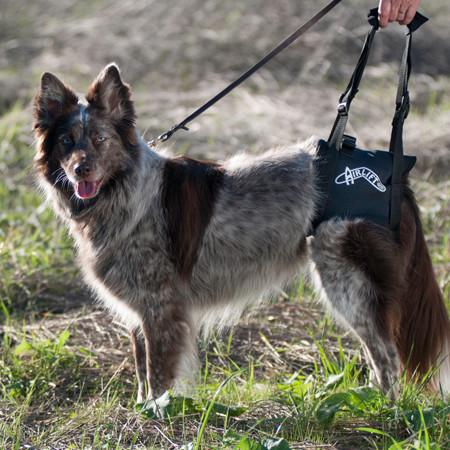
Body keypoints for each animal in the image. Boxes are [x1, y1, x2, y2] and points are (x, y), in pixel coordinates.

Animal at [34, 62, 450, 404]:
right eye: (67, 141)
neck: (124, 191)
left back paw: (384, 411)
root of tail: (399, 177)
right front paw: (139, 410)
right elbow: (141, 367)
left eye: (100, 139)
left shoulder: (161, 308)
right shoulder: (141, 310)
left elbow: (157, 374)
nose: (80, 170)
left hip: (348, 282)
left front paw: (154, 415)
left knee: (388, 356)